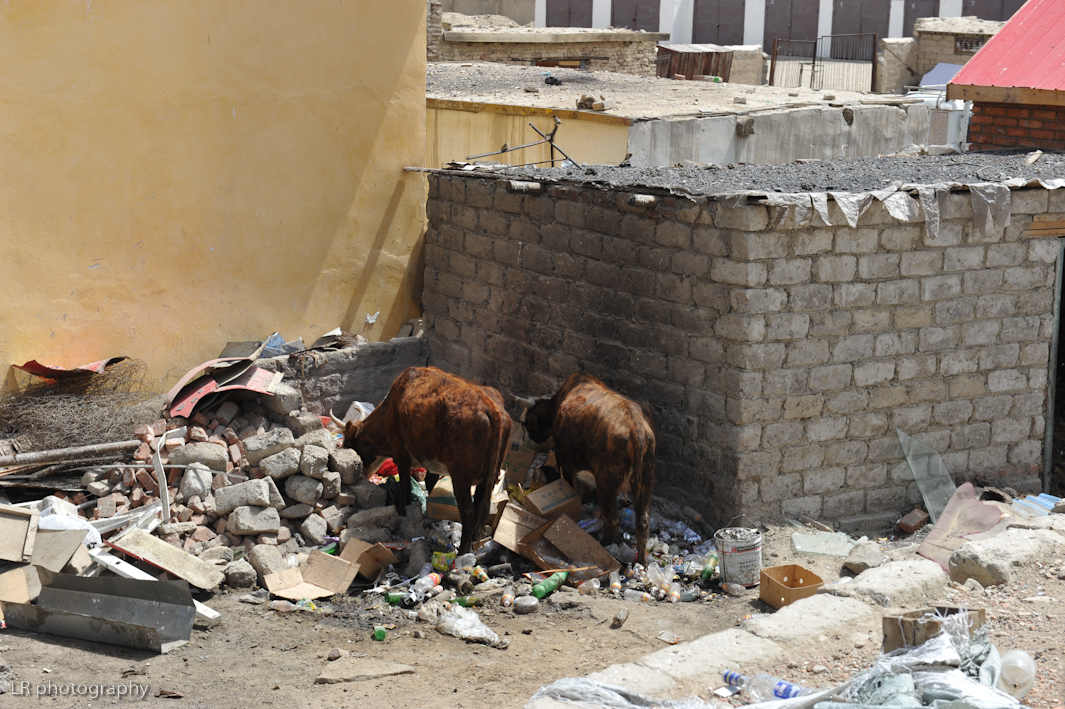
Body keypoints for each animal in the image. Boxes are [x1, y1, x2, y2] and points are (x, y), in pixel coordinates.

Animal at [336, 367, 510, 554]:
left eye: (350, 445)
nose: (361, 475)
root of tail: (490, 406)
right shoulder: (431, 461)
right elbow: (430, 482)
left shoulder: (401, 454)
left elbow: (405, 485)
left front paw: (401, 510)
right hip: (489, 476)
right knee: (480, 507)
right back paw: (475, 544)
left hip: (461, 476)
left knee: (469, 512)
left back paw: (463, 551)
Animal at [517, 373, 656, 565]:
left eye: (525, 424)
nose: (521, 445)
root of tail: (635, 425)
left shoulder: (564, 459)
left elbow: (573, 486)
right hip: (646, 482)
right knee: (642, 522)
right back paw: (641, 561)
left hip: (606, 482)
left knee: (613, 519)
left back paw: (605, 547)